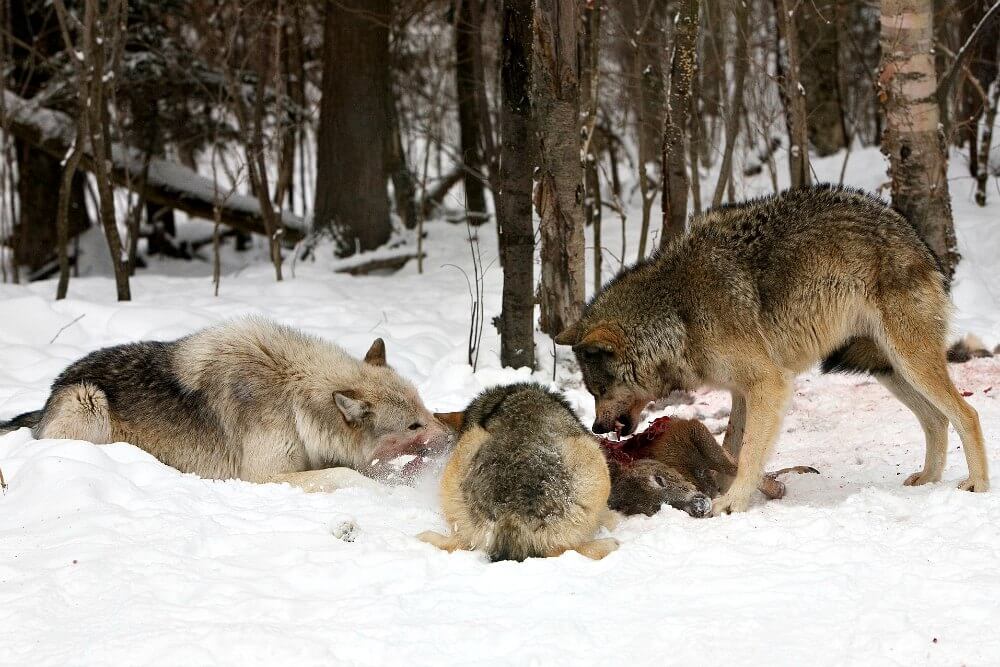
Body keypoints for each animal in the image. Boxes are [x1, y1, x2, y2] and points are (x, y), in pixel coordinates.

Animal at [0, 318, 451, 493]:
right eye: (412, 426)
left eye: (424, 412)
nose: (449, 438)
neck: (294, 397)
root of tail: (50, 391)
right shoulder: (263, 477)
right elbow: (347, 474)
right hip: (87, 400)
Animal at [603, 417, 816, 517]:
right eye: (655, 508)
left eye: (659, 479)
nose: (698, 508)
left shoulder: (692, 429)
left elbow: (730, 464)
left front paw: (778, 489)